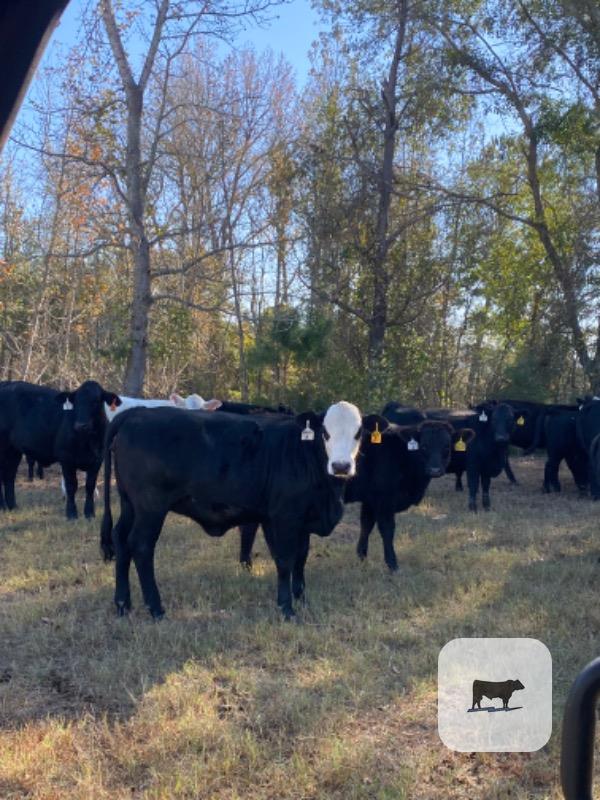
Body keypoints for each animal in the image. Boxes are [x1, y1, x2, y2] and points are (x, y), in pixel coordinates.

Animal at [0, 380, 121, 518]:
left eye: (95, 401)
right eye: (75, 402)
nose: (81, 425)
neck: (86, 440)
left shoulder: (97, 459)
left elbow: (90, 485)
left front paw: (89, 513)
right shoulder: (66, 458)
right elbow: (71, 485)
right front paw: (71, 514)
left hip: (13, 450)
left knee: (9, 476)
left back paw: (12, 507)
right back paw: (3, 507)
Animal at [100, 401, 363, 619]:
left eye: (358, 433)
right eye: (325, 432)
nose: (341, 466)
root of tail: (138, 412)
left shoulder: (303, 519)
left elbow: (301, 558)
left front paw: (302, 600)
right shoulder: (285, 518)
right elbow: (285, 560)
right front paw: (287, 608)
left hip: (129, 504)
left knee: (121, 539)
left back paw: (123, 604)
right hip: (150, 507)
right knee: (141, 546)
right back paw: (156, 609)